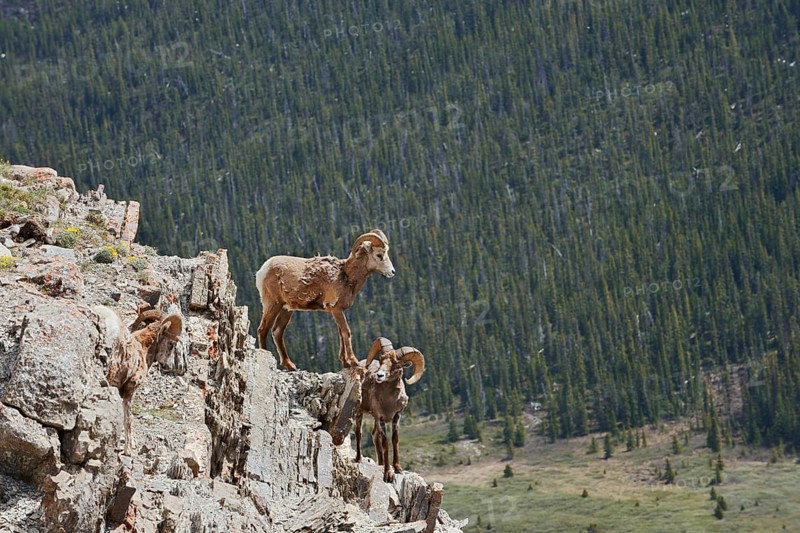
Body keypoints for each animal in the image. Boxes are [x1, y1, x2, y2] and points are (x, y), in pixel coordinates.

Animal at [93, 305, 186, 455]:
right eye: (171, 344)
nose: (170, 366)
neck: (143, 348)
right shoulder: (130, 389)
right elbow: (128, 418)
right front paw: (128, 450)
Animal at [255, 229, 395, 371]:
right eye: (379, 255)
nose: (392, 272)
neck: (346, 276)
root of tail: (262, 270)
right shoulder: (335, 309)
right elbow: (346, 332)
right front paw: (354, 362)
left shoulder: (339, 310)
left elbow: (341, 334)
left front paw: (345, 362)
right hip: (273, 304)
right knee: (263, 330)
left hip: (286, 309)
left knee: (277, 332)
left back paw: (291, 366)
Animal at [354, 336, 425, 482]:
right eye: (381, 360)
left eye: (397, 364)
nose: (379, 375)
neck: (389, 402)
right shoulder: (381, 418)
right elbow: (385, 443)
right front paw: (388, 474)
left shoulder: (396, 416)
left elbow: (394, 439)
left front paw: (398, 468)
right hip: (360, 412)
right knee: (359, 433)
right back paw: (358, 459)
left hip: (374, 419)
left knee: (374, 435)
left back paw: (380, 463)